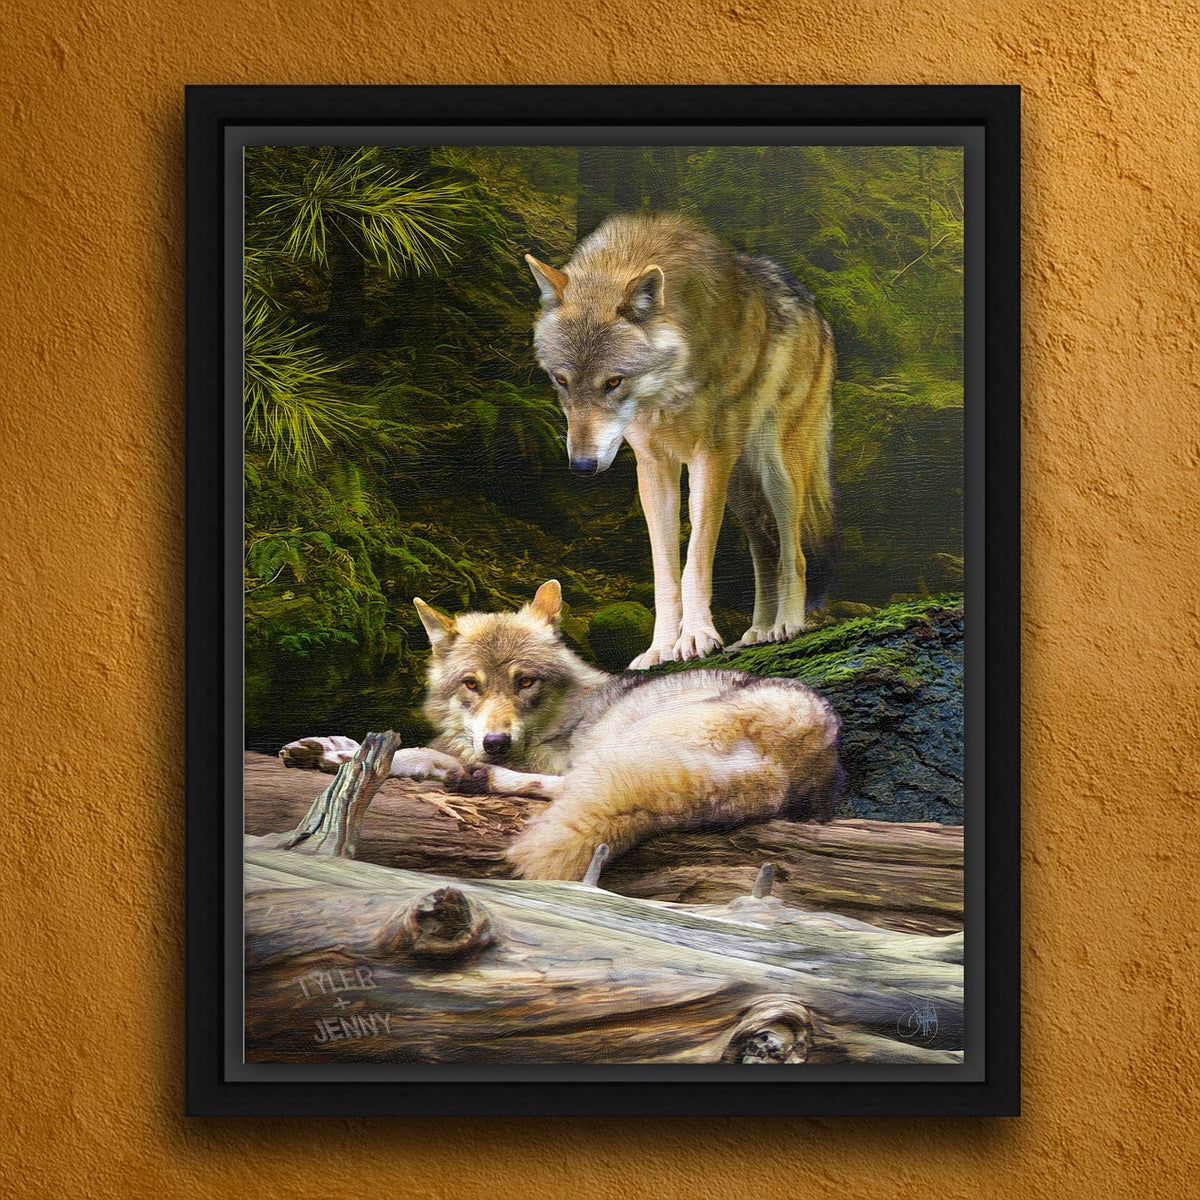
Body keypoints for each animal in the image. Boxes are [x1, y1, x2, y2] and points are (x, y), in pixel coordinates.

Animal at [281, 581, 842, 881]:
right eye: (472, 684)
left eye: (525, 681)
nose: (497, 742)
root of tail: (805, 743)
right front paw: (325, 745)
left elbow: (418, 753)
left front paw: (342, 752)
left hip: (630, 742)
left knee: (563, 785)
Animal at [525, 213, 837, 668]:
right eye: (562, 381)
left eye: (613, 382)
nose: (581, 467)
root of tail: (820, 315)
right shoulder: (654, 466)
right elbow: (665, 574)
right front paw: (660, 649)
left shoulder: (710, 457)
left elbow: (695, 561)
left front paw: (696, 638)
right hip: (742, 491)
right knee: (766, 550)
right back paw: (757, 632)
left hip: (776, 468)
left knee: (793, 553)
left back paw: (787, 625)